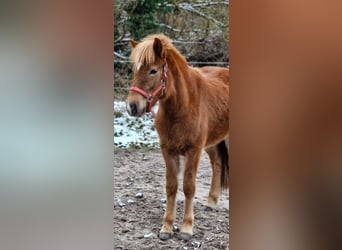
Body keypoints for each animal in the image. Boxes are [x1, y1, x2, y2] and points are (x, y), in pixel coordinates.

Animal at [125, 33, 230, 240]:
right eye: (134, 69)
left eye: (153, 71)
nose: (132, 106)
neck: (182, 106)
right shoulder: (168, 150)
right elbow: (171, 186)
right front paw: (166, 227)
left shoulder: (193, 151)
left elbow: (189, 187)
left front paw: (186, 228)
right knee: (217, 164)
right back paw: (211, 202)